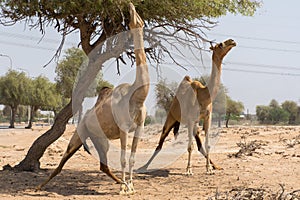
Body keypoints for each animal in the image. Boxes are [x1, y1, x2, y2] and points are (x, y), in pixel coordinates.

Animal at [37, 2, 149, 195]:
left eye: (138, 18)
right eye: (133, 18)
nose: (130, 5)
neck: (136, 96)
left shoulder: (139, 127)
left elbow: (132, 159)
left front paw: (131, 186)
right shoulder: (123, 128)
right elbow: (123, 159)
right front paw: (124, 189)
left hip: (100, 139)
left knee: (103, 165)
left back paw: (119, 182)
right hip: (80, 133)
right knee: (62, 161)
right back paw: (39, 186)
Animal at [139, 39, 237, 175]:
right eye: (220, 45)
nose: (232, 41)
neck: (203, 95)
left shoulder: (207, 118)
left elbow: (207, 144)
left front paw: (209, 169)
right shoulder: (190, 119)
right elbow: (190, 146)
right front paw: (189, 170)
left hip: (194, 123)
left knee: (200, 145)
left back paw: (215, 166)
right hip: (171, 118)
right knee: (160, 142)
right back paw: (143, 167)